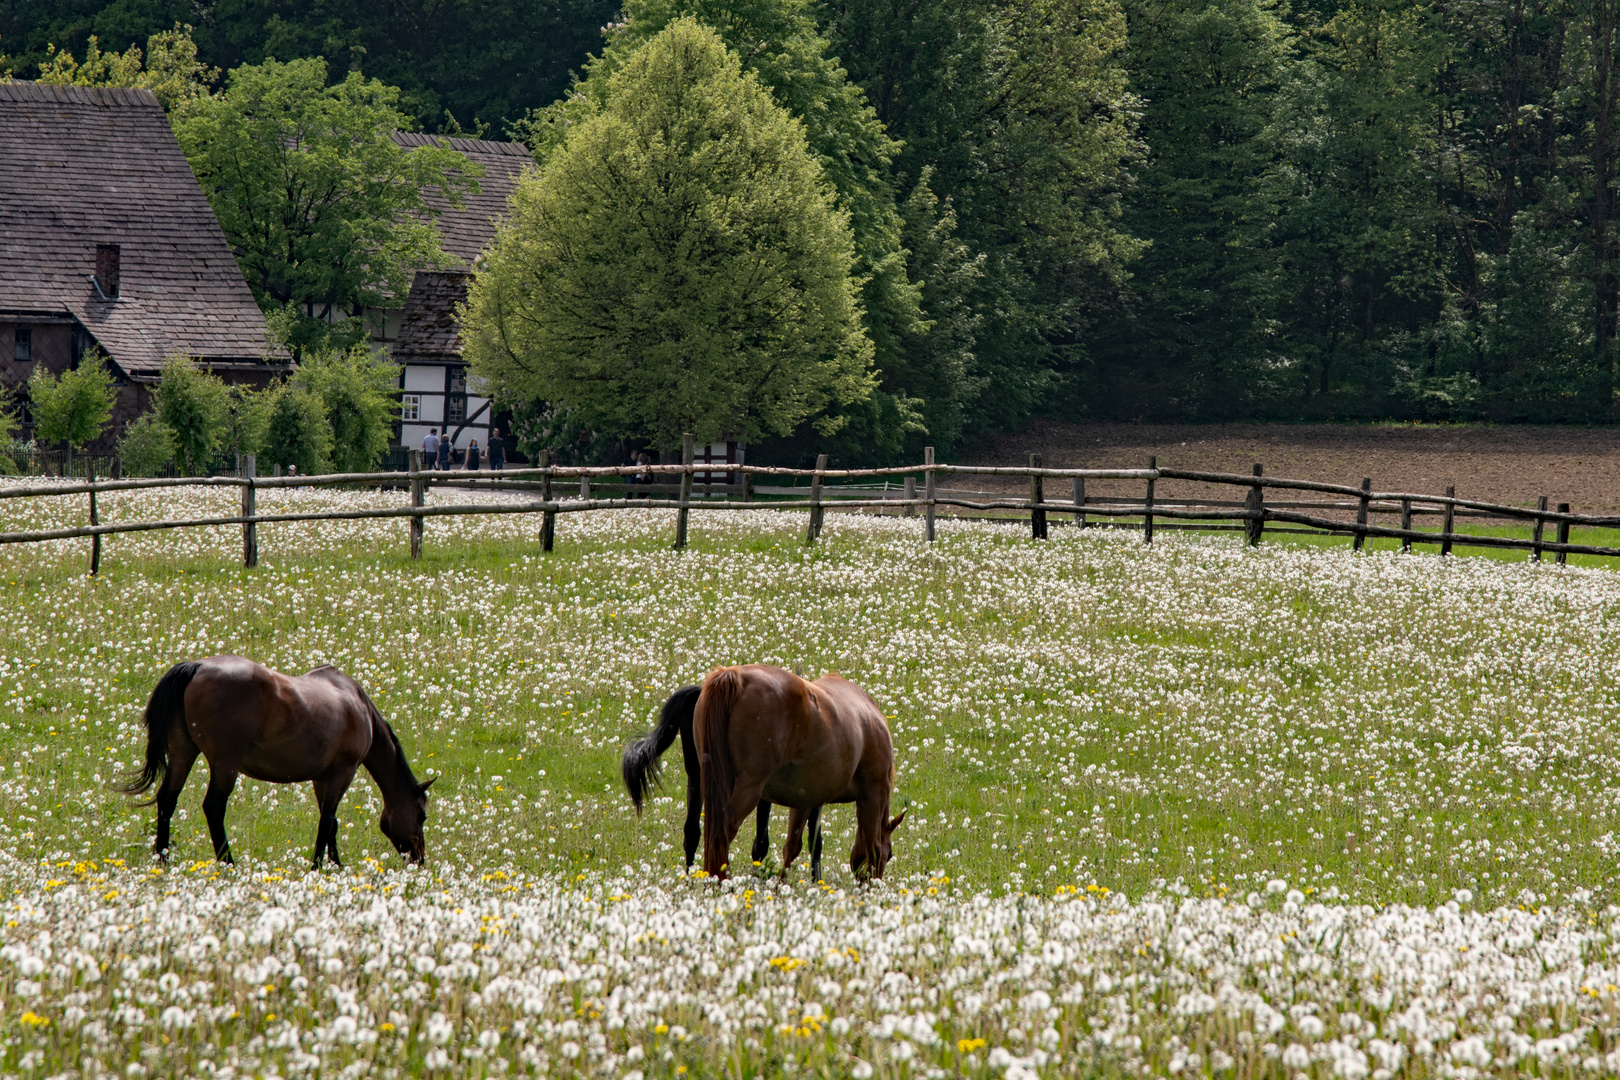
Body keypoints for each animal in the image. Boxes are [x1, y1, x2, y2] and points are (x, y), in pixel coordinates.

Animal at [120, 660, 434, 867]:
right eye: (422, 815)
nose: (419, 859)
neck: (359, 706)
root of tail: (196, 667)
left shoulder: (322, 778)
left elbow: (331, 823)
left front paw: (335, 865)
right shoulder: (342, 773)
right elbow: (327, 821)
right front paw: (319, 866)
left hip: (183, 752)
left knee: (167, 799)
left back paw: (162, 858)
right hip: (224, 764)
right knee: (213, 807)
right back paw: (228, 863)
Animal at [693, 663, 907, 880]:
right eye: (890, 855)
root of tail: (736, 676)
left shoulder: (806, 799)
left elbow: (796, 845)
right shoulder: (872, 794)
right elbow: (873, 848)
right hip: (748, 788)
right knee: (724, 831)